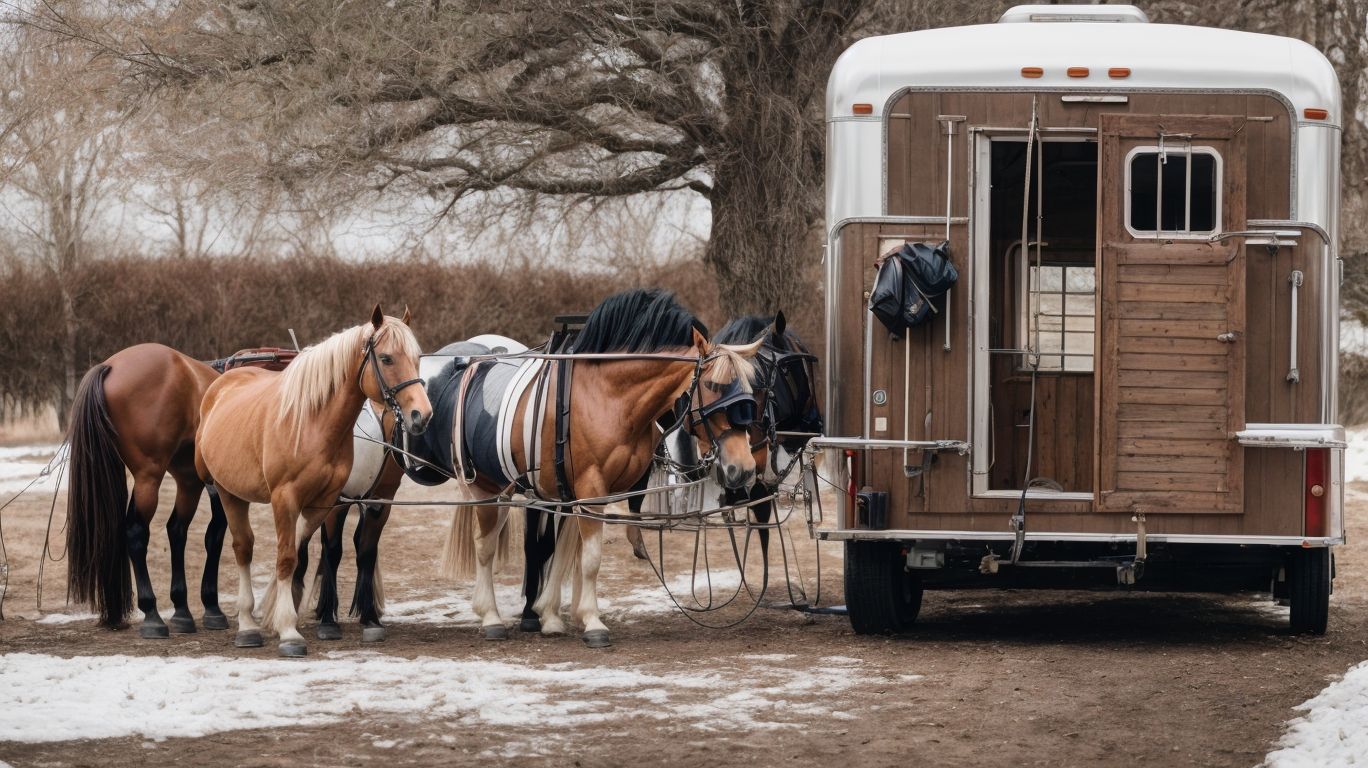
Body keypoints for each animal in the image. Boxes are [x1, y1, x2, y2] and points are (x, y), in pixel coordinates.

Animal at [194, 305, 430, 656]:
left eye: (416, 357)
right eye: (387, 358)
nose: (421, 415)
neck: (312, 422)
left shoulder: (326, 501)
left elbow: (301, 550)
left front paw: (295, 610)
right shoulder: (287, 499)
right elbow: (290, 556)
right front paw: (290, 629)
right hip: (227, 492)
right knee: (242, 548)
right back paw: (247, 625)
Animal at [415, 288, 762, 647]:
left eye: (750, 392)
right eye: (715, 387)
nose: (744, 468)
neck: (607, 397)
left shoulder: (579, 494)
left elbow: (566, 554)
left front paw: (552, 615)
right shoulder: (590, 489)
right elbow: (590, 559)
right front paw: (593, 622)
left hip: (508, 488)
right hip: (484, 486)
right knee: (484, 547)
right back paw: (490, 616)